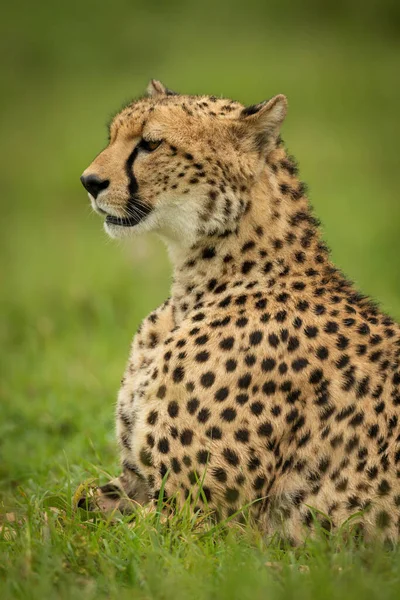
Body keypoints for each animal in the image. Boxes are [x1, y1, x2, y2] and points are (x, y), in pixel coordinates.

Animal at [79, 79, 400, 544]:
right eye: (113, 136)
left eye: (151, 143)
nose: (89, 181)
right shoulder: (136, 482)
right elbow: (65, 503)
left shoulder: (201, 519)